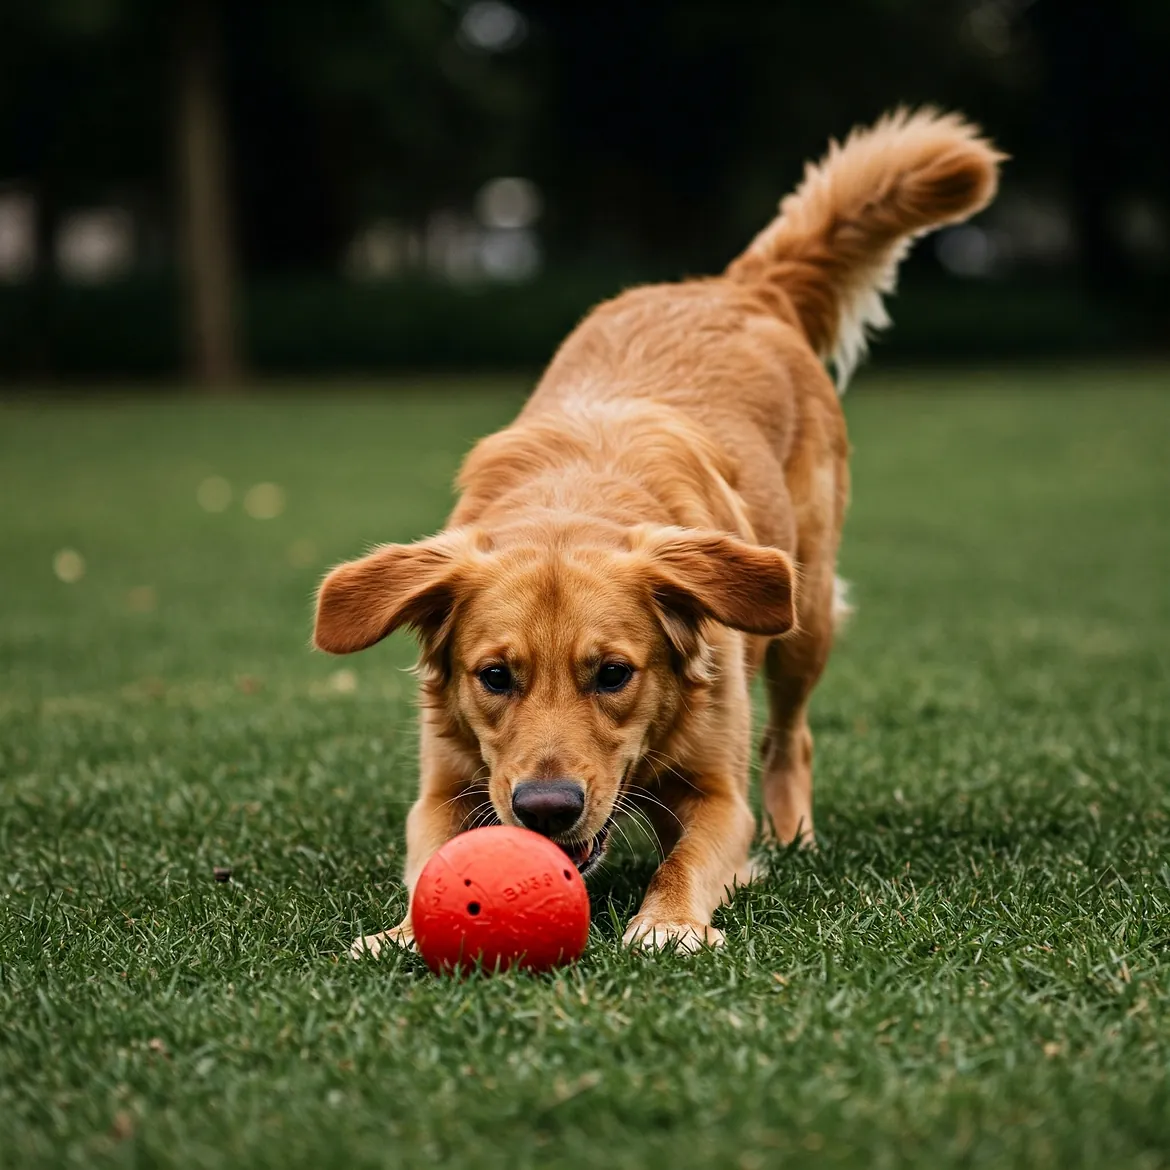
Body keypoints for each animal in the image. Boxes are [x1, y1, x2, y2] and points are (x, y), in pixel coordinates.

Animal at [315, 107, 1001, 959]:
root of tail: (735, 285)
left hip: (802, 612)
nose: (546, 809)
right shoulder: (444, 782)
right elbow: (433, 853)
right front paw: (404, 930)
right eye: (494, 677)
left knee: (792, 737)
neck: (571, 500)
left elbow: (687, 858)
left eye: (614, 674)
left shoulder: (719, 794)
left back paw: (795, 837)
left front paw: (667, 921)